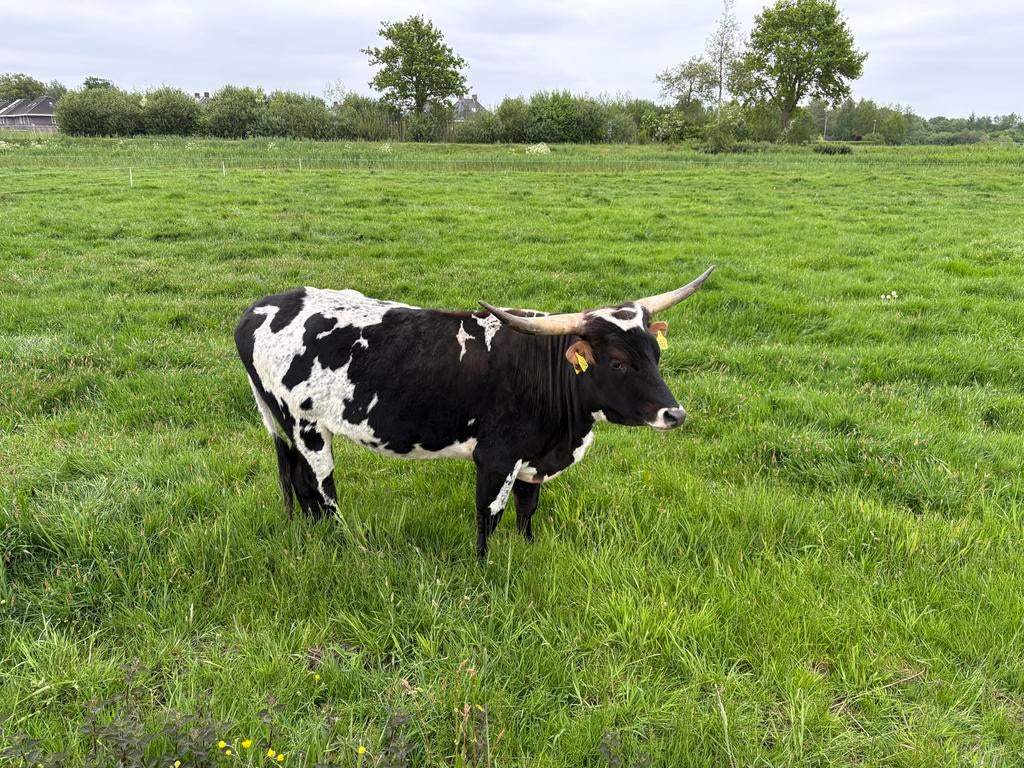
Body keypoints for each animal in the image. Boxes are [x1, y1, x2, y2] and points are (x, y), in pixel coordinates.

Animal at [235, 266, 714, 558]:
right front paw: (484, 567)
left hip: (290, 427)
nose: (675, 414)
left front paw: (528, 548)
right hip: (307, 426)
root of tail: (257, 309)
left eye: (655, 353)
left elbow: (526, 509)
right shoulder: (496, 459)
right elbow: (489, 516)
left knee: (296, 481)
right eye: (616, 362)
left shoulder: (531, 460)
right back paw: (345, 540)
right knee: (320, 488)